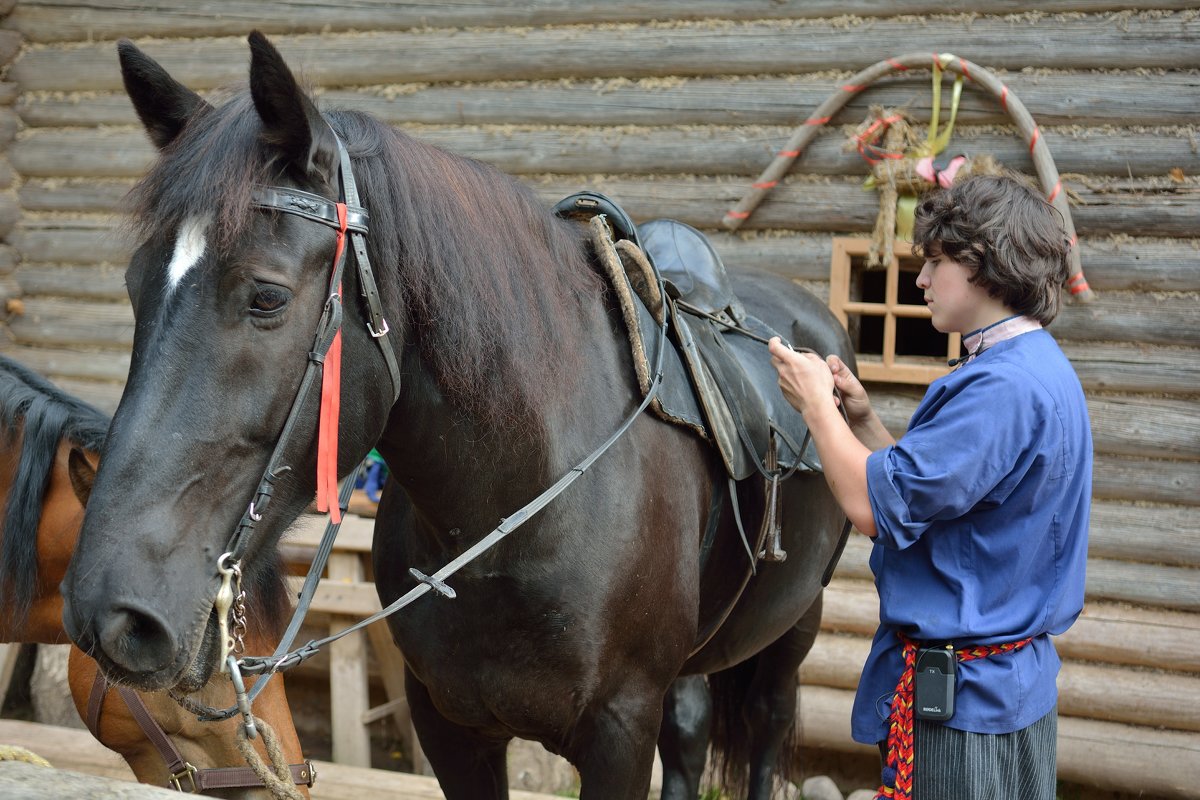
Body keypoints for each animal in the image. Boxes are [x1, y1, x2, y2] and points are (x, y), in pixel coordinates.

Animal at [63, 34, 854, 796]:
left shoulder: (620, 731)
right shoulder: (448, 727)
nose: (111, 612)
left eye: (267, 296)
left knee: (765, 727)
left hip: (793, 633)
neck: (513, 518)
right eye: (134, 287)